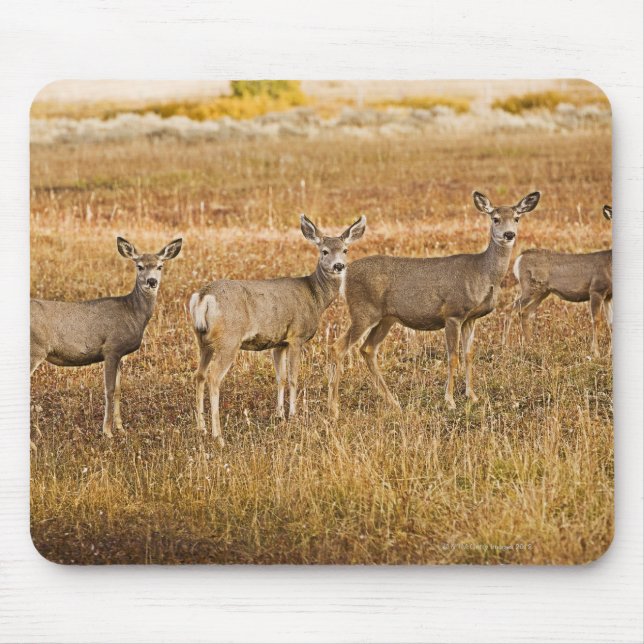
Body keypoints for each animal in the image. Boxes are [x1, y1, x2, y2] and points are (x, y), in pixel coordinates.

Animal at [30, 236, 183, 437]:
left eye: (160, 266)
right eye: (139, 266)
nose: (151, 281)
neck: (131, 312)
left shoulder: (120, 354)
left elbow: (118, 389)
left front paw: (120, 428)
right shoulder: (111, 348)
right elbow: (109, 390)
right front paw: (107, 431)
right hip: (35, 350)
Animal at [188, 214, 366, 446]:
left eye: (345, 249)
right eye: (324, 251)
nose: (339, 266)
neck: (315, 297)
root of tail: (203, 297)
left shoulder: (279, 342)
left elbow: (280, 378)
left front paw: (280, 414)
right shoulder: (296, 336)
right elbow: (293, 377)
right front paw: (293, 414)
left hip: (203, 341)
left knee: (199, 375)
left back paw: (200, 428)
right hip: (229, 340)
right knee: (213, 378)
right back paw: (218, 435)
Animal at [327, 191, 541, 417]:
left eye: (517, 218)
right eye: (495, 218)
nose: (509, 234)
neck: (483, 273)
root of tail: (346, 275)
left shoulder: (470, 318)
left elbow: (469, 355)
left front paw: (472, 396)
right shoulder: (453, 313)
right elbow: (453, 357)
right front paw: (450, 400)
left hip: (386, 318)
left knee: (367, 349)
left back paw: (393, 403)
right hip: (363, 311)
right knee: (337, 347)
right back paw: (334, 408)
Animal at [512, 204, 612, 356]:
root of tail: (520, 258)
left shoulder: (609, 296)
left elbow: (611, 323)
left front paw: (609, 352)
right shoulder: (596, 289)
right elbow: (596, 320)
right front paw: (595, 353)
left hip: (542, 291)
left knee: (525, 313)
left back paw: (531, 347)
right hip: (530, 287)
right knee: (513, 308)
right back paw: (507, 344)